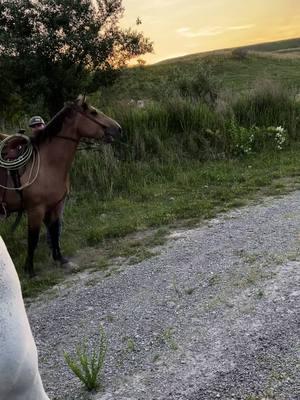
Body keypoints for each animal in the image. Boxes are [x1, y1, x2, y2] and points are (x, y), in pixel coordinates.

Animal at [0, 97, 122, 278]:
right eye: (93, 112)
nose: (118, 128)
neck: (47, 164)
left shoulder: (56, 205)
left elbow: (54, 231)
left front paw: (61, 259)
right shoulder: (35, 210)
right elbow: (33, 239)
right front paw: (30, 269)